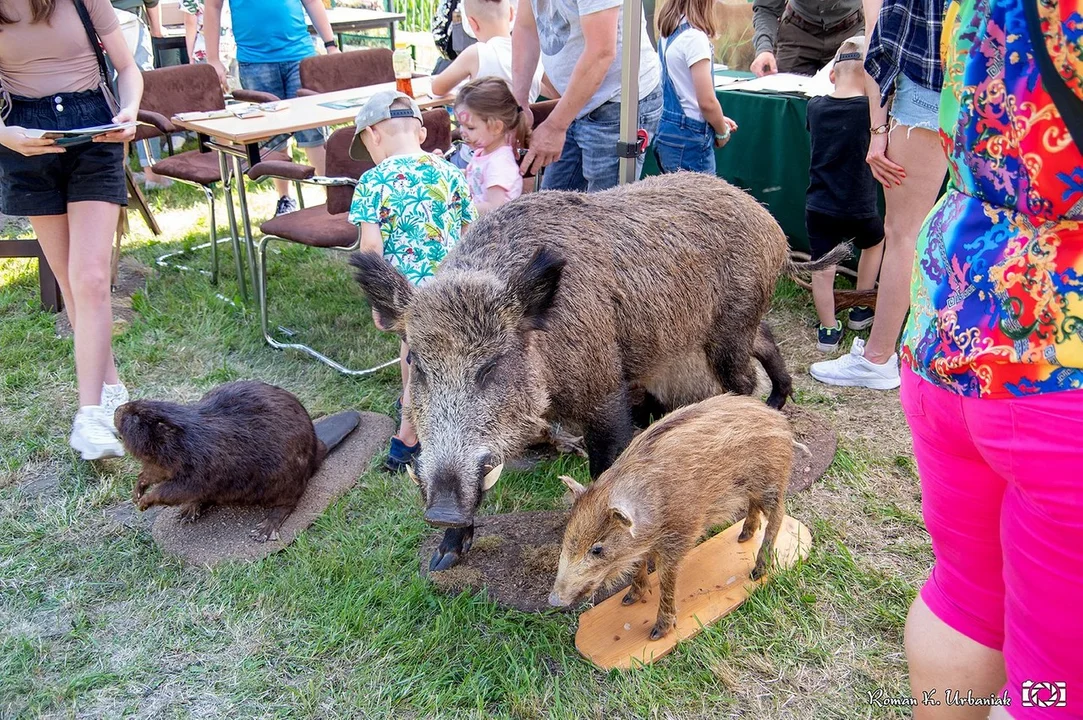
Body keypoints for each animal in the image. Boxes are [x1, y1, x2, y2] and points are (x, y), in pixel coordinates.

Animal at [116, 381, 324, 539]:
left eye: (135, 417)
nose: (118, 409)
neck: (188, 437)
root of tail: (318, 449)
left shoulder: (204, 463)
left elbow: (179, 489)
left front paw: (145, 501)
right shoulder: (163, 461)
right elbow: (153, 473)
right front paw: (137, 492)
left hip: (287, 479)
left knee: (288, 502)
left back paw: (264, 530)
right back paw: (188, 512)